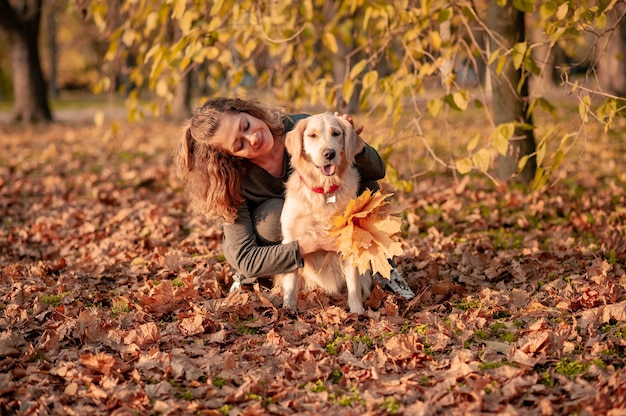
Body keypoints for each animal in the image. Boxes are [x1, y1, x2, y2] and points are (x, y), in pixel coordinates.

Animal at [276, 112, 370, 314]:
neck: (325, 191)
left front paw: (357, 312)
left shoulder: (348, 240)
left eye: (336, 133)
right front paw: (288, 309)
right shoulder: (291, 238)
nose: (329, 153)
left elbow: (353, 285)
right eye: (312, 135)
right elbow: (291, 282)